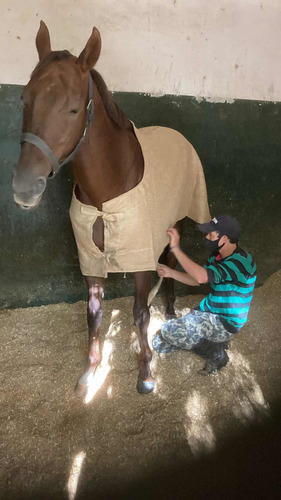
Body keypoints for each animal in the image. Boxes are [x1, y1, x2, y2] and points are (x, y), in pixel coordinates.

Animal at [13, 22, 210, 394]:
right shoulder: (89, 258)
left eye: (74, 108)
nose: (24, 188)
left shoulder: (139, 257)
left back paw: (171, 312)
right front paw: (90, 373)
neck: (106, 194)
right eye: (25, 99)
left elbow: (139, 312)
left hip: (178, 221)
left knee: (171, 261)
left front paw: (146, 373)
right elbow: (94, 312)